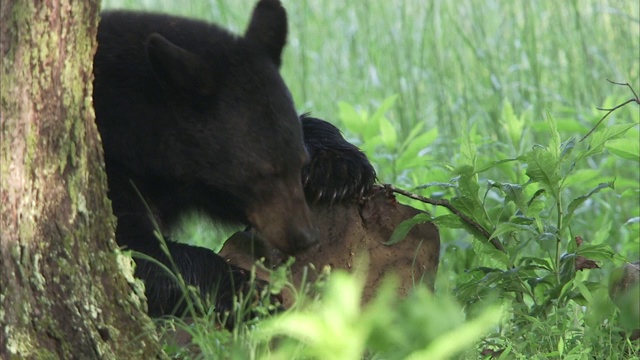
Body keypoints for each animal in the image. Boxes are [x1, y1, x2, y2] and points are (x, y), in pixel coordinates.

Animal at [92, 0, 318, 316]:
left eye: (299, 163)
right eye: (261, 174)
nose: (304, 237)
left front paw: (342, 168)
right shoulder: (112, 170)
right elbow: (135, 250)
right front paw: (250, 294)